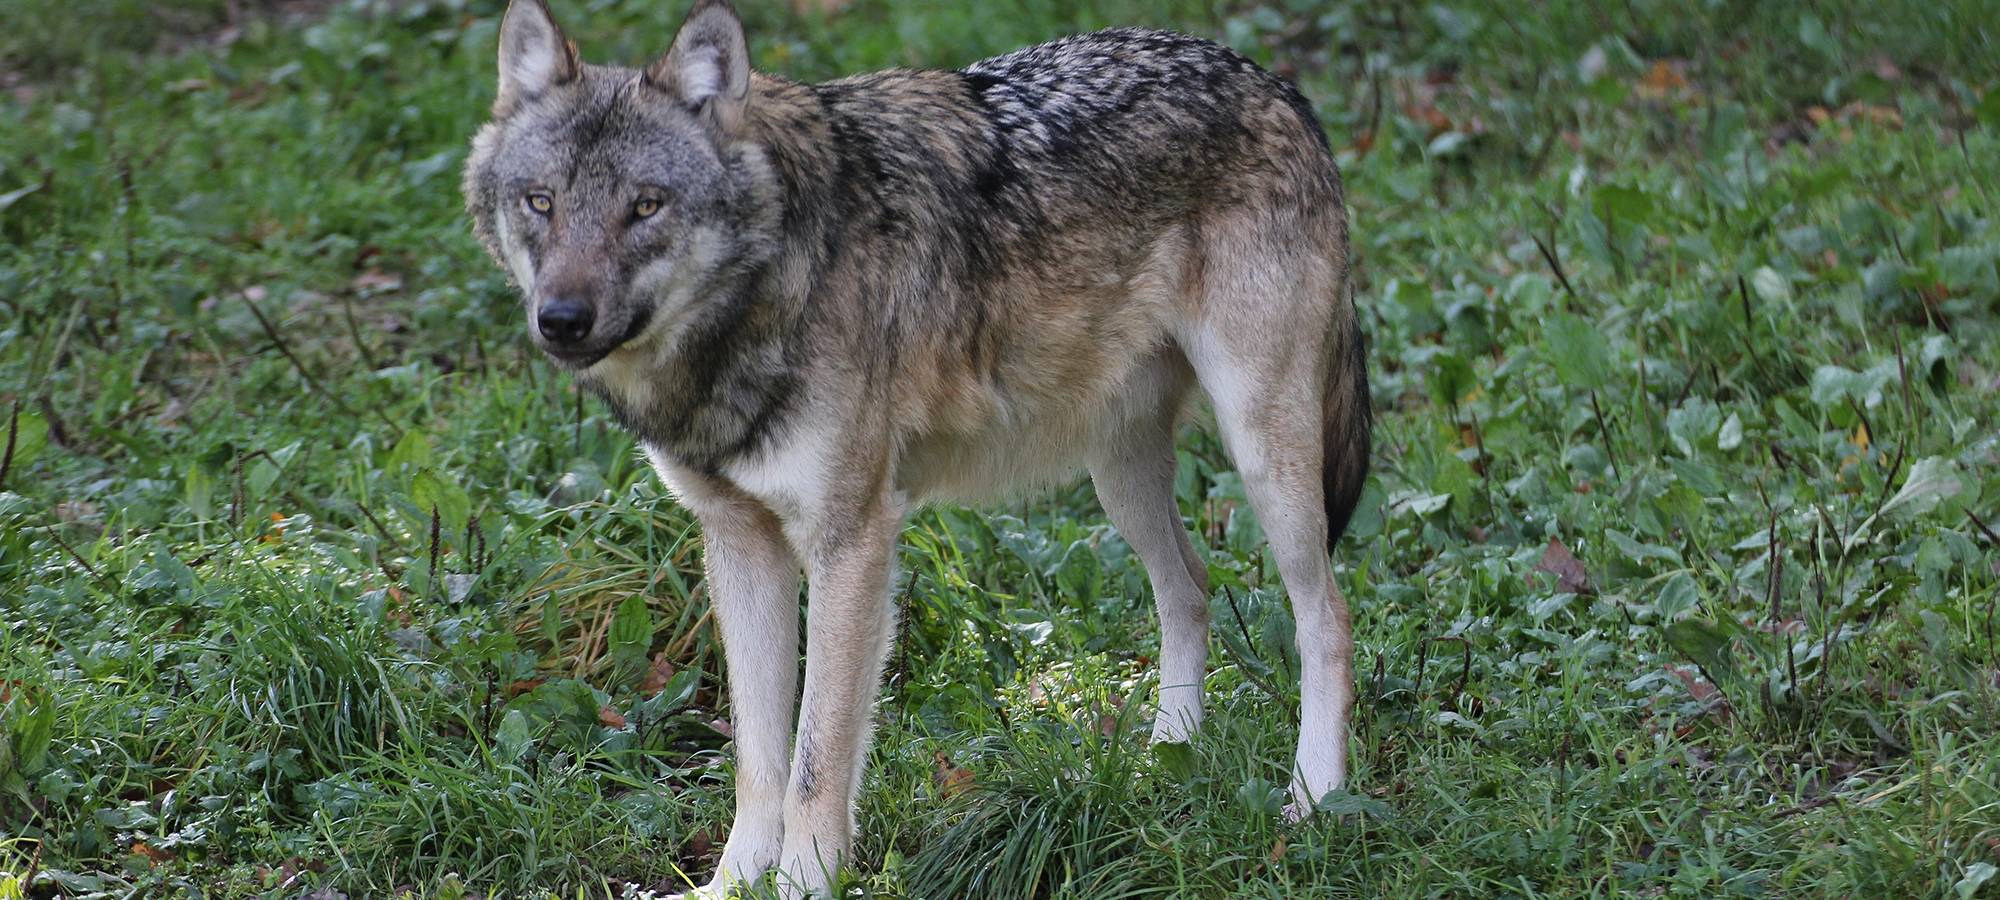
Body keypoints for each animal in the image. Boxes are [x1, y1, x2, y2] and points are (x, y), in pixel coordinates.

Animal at [463, 0, 1371, 894]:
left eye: (645, 207)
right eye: (541, 202)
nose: (561, 320)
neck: (769, 291)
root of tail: (1276, 85)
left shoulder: (853, 544)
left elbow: (816, 759)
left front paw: (802, 883)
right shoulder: (739, 542)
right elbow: (758, 759)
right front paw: (732, 883)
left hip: (1263, 453)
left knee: (1326, 617)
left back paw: (1313, 798)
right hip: (1118, 477)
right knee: (1191, 587)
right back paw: (1166, 756)